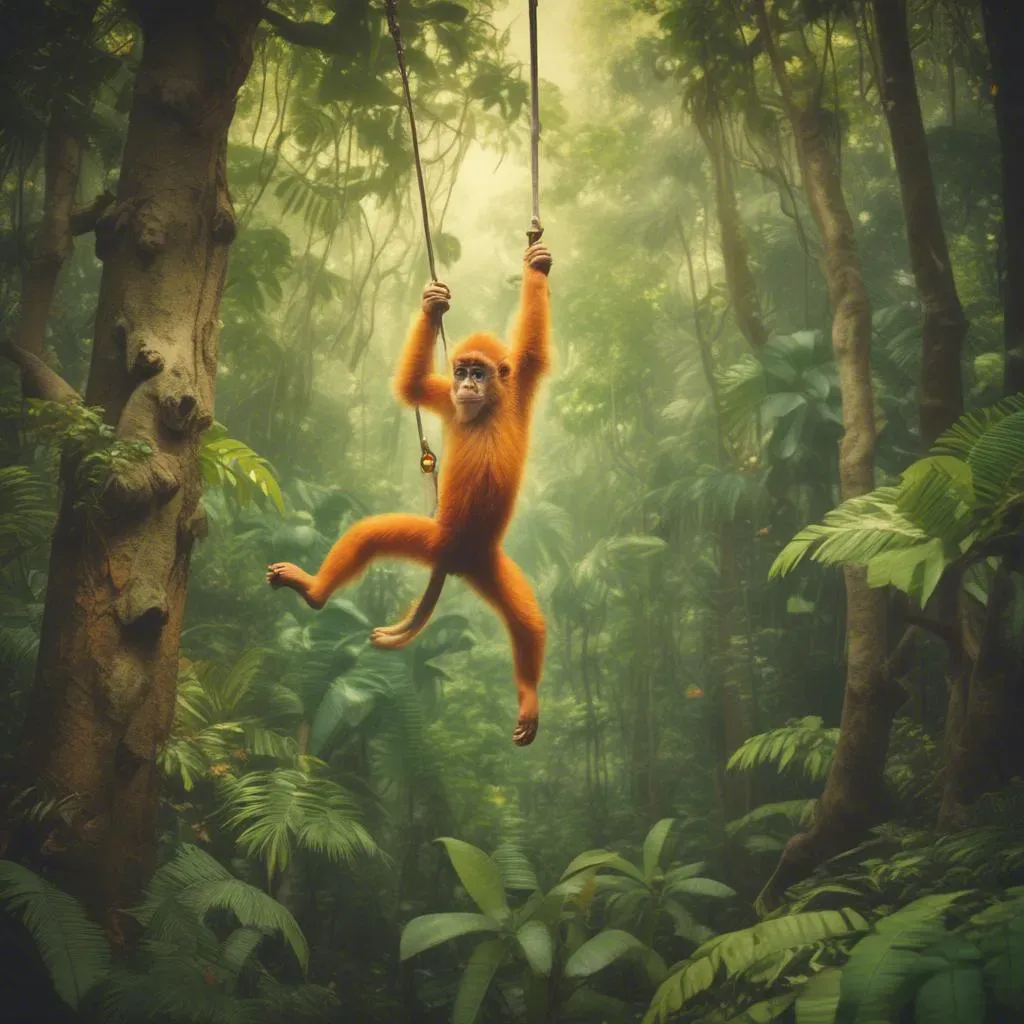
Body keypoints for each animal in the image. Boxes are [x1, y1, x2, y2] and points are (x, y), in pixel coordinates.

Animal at [267, 241, 553, 746]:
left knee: (527, 621)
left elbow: (532, 348)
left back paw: (528, 697)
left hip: (486, 563)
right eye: (461, 370)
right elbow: (414, 386)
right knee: (367, 536)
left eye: (479, 372)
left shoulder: (519, 387)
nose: (465, 383)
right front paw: (432, 302)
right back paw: (315, 590)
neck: (485, 411)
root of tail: (454, 560)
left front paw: (536, 262)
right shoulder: (450, 404)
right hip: (434, 539)